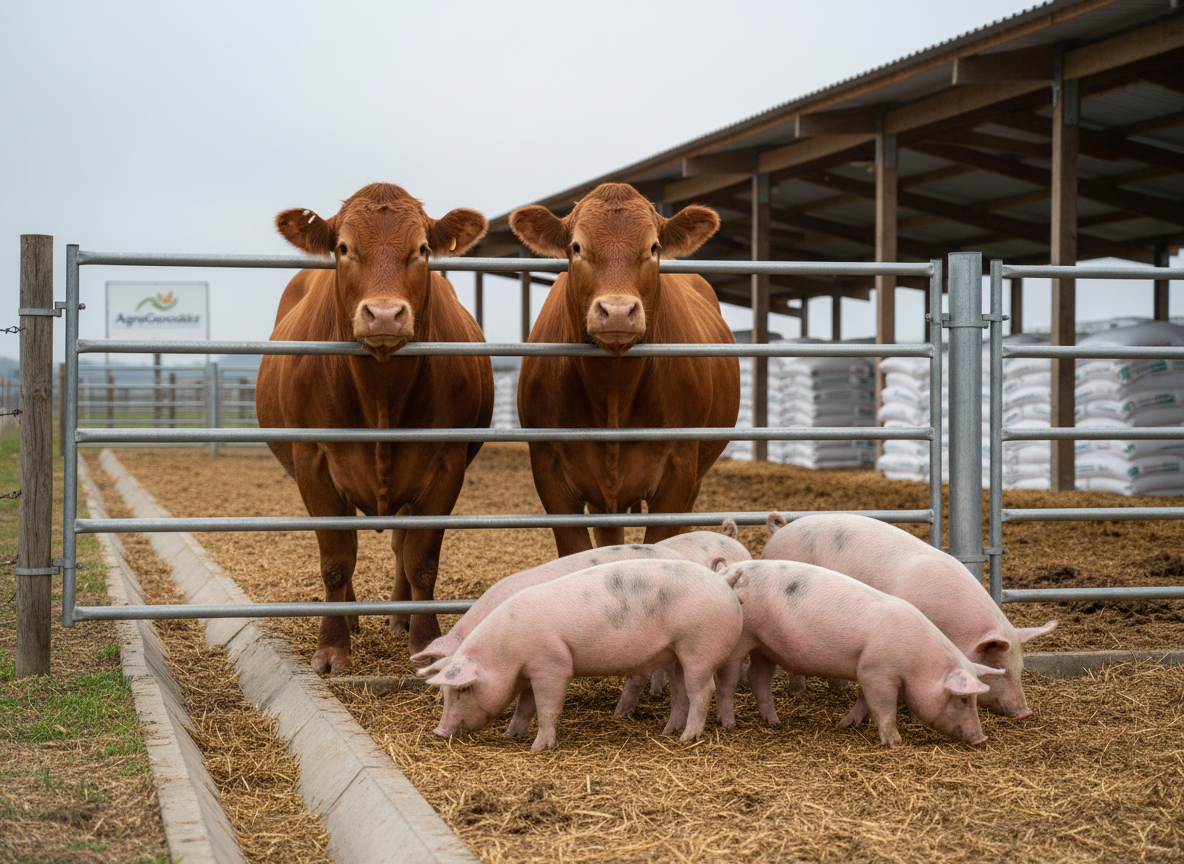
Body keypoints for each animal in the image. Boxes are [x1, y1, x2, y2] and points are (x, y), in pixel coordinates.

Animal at [256, 183, 494, 674]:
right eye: (344, 248)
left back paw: (400, 618)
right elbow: (336, 559)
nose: (384, 315)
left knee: (401, 545)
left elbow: (421, 560)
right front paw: (332, 649)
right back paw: (351, 617)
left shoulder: (446, 465)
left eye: (421, 249)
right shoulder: (314, 463)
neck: (381, 393)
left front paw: (425, 642)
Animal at [427, 559, 745, 752]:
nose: (439, 731)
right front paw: (510, 735)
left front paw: (537, 748)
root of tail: (723, 582)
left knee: (702, 691)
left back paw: (686, 738)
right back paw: (668, 732)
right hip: (678, 652)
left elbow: (547, 709)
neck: (506, 653)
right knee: (680, 693)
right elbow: (524, 707)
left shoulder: (552, 665)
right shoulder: (530, 671)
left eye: (463, 689)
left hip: (699, 648)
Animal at [509, 183, 741, 556]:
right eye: (576, 247)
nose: (617, 311)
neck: (614, 393)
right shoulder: (549, 472)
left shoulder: (679, 471)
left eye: (653, 247)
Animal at [716, 560, 1002, 747]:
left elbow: (864, 700)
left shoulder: (867, 670)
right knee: (727, 682)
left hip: (764, 646)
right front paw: (895, 743)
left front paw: (845, 725)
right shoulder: (878, 672)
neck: (918, 663)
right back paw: (729, 724)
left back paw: (774, 722)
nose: (982, 738)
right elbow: (883, 708)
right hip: (742, 639)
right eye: (963, 699)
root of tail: (725, 572)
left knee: (758, 678)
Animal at [762, 512, 1057, 718]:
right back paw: (799, 692)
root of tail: (780, 530)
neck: (955, 629)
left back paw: (839, 689)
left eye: (1021, 667)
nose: (1024, 712)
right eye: (997, 666)